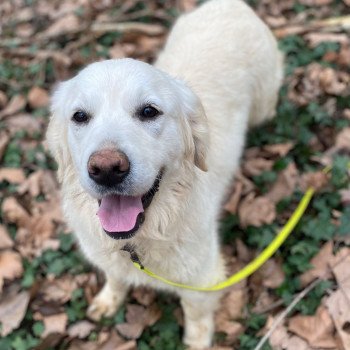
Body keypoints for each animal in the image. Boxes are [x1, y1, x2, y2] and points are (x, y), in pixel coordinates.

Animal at [46, 0, 284, 348]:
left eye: (149, 111)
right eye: (79, 116)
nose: (106, 169)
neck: (141, 239)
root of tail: (231, 4)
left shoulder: (203, 278)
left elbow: (196, 316)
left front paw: (197, 342)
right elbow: (115, 277)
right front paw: (109, 300)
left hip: (265, 103)